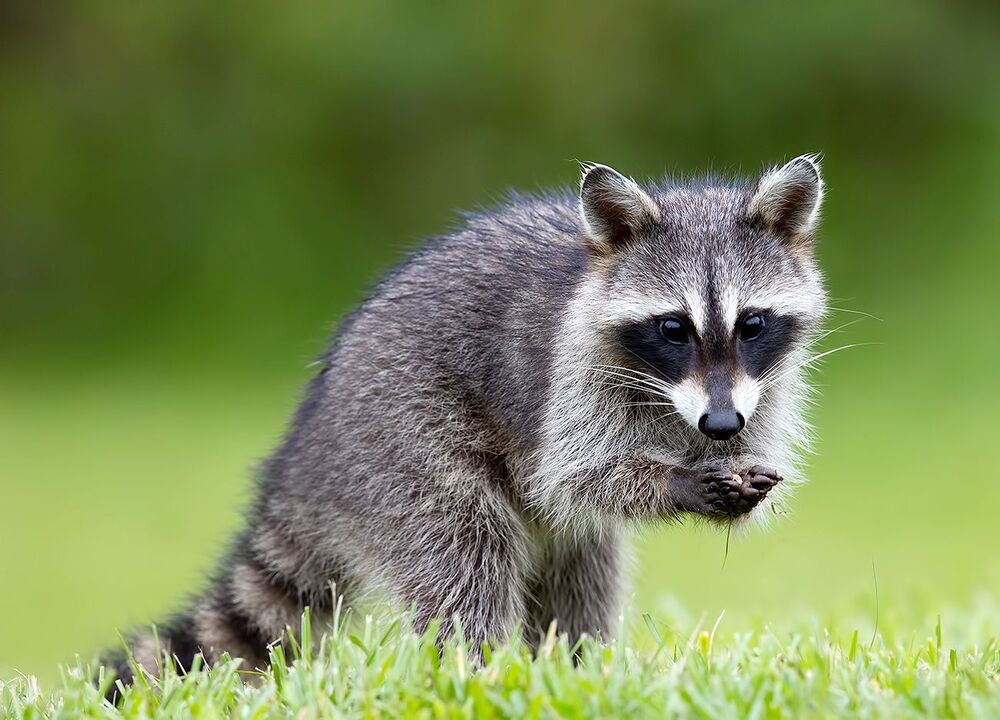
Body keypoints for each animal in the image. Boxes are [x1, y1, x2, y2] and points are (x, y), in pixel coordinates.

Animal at [106, 154, 827, 689]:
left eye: (752, 323)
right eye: (674, 328)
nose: (720, 424)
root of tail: (308, 447)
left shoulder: (765, 383)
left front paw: (731, 474)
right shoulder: (573, 379)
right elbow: (573, 478)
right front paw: (681, 483)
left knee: (583, 565)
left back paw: (576, 669)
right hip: (399, 437)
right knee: (464, 551)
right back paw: (472, 673)